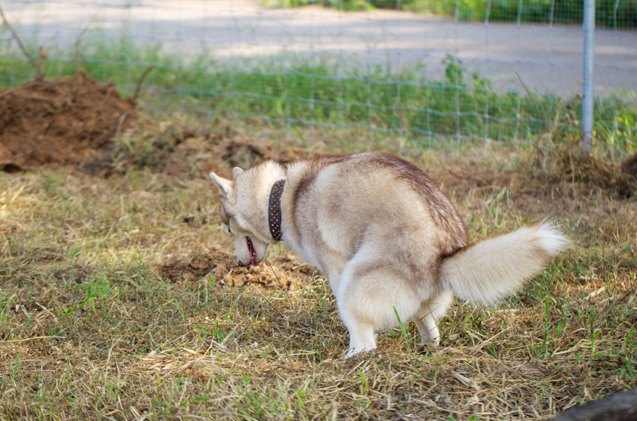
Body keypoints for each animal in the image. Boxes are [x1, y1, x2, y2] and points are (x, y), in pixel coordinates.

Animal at [209, 153, 568, 356]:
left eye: (227, 229)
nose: (238, 262)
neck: (282, 197)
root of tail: (442, 256)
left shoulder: (337, 268)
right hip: (421, 303)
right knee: (429, 325)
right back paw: (427, 348)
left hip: (355, 281)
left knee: (366, 340)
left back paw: (353, 357)